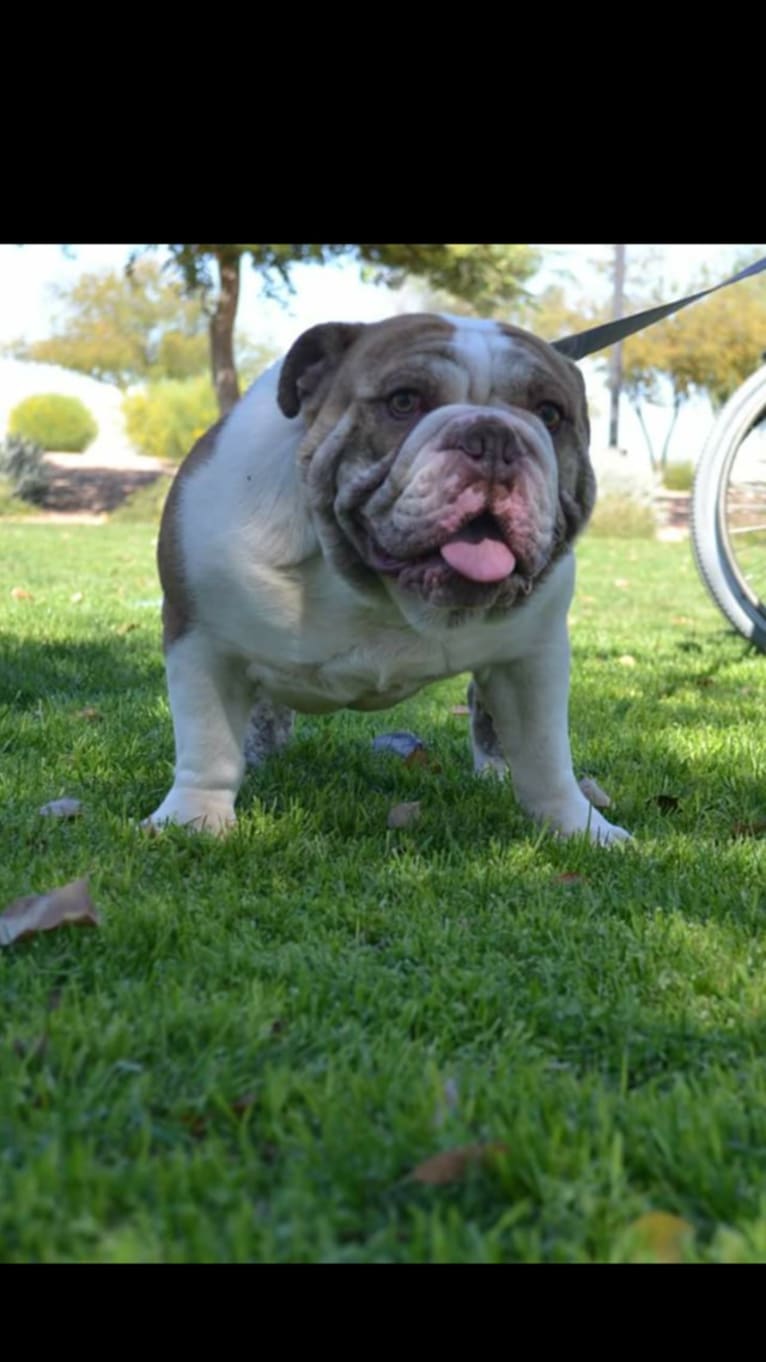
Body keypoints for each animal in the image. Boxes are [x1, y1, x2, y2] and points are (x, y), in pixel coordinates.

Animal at [145, 313, 629, 838]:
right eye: (403, 401)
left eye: (550, 413)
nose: (494, 438)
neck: (377, 590)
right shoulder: (201, 640)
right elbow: (208, 742)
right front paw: (194, 818)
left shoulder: (531, 661)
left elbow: (545, 756)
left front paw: (578, 827)